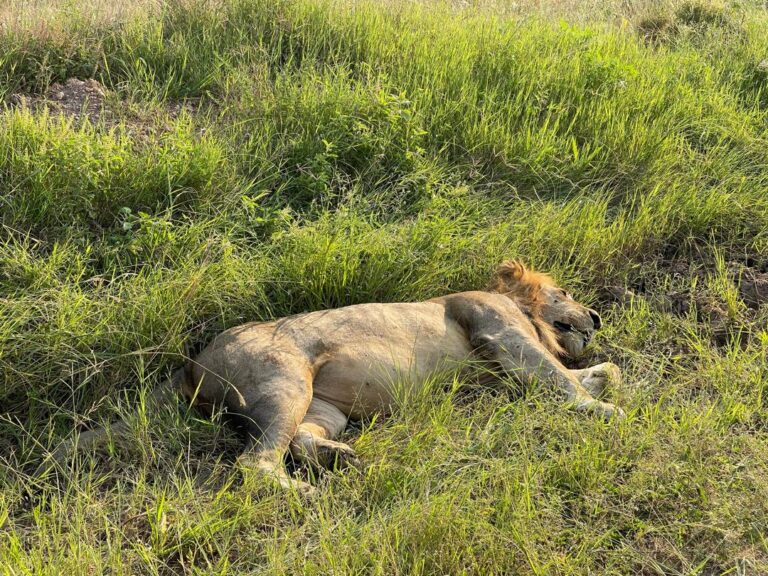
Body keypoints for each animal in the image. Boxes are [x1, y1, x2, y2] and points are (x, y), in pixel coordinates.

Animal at [35, 261, 624, 495]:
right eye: (565, 292)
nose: (597, 317)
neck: (527, 312)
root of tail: (192, 361)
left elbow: (593, 371)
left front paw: (601, 382)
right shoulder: (498, 328)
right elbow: (559, 378)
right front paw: (602, 409)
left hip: (326, 406)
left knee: (300, 441)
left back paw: (343, 459)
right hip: (285, 381)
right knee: (256, 463)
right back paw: (310, 494)